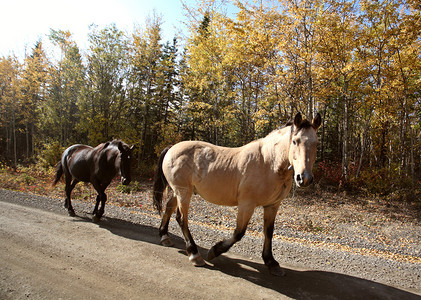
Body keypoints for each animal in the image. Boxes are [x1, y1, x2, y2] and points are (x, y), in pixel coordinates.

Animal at [153, 112, 320, 274]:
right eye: (295, 141)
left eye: (316, 143)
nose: (304, 178)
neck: (268, 162)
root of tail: (172, 148)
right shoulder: (247, 204)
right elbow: (239, 232)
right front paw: (215, 251)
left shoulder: (272, 205)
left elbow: (268, 231)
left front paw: (271, 262)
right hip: (183, 192)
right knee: (182, 219)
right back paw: (195, 255)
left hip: (179, 191)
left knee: (169, 207)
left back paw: (165, 237)